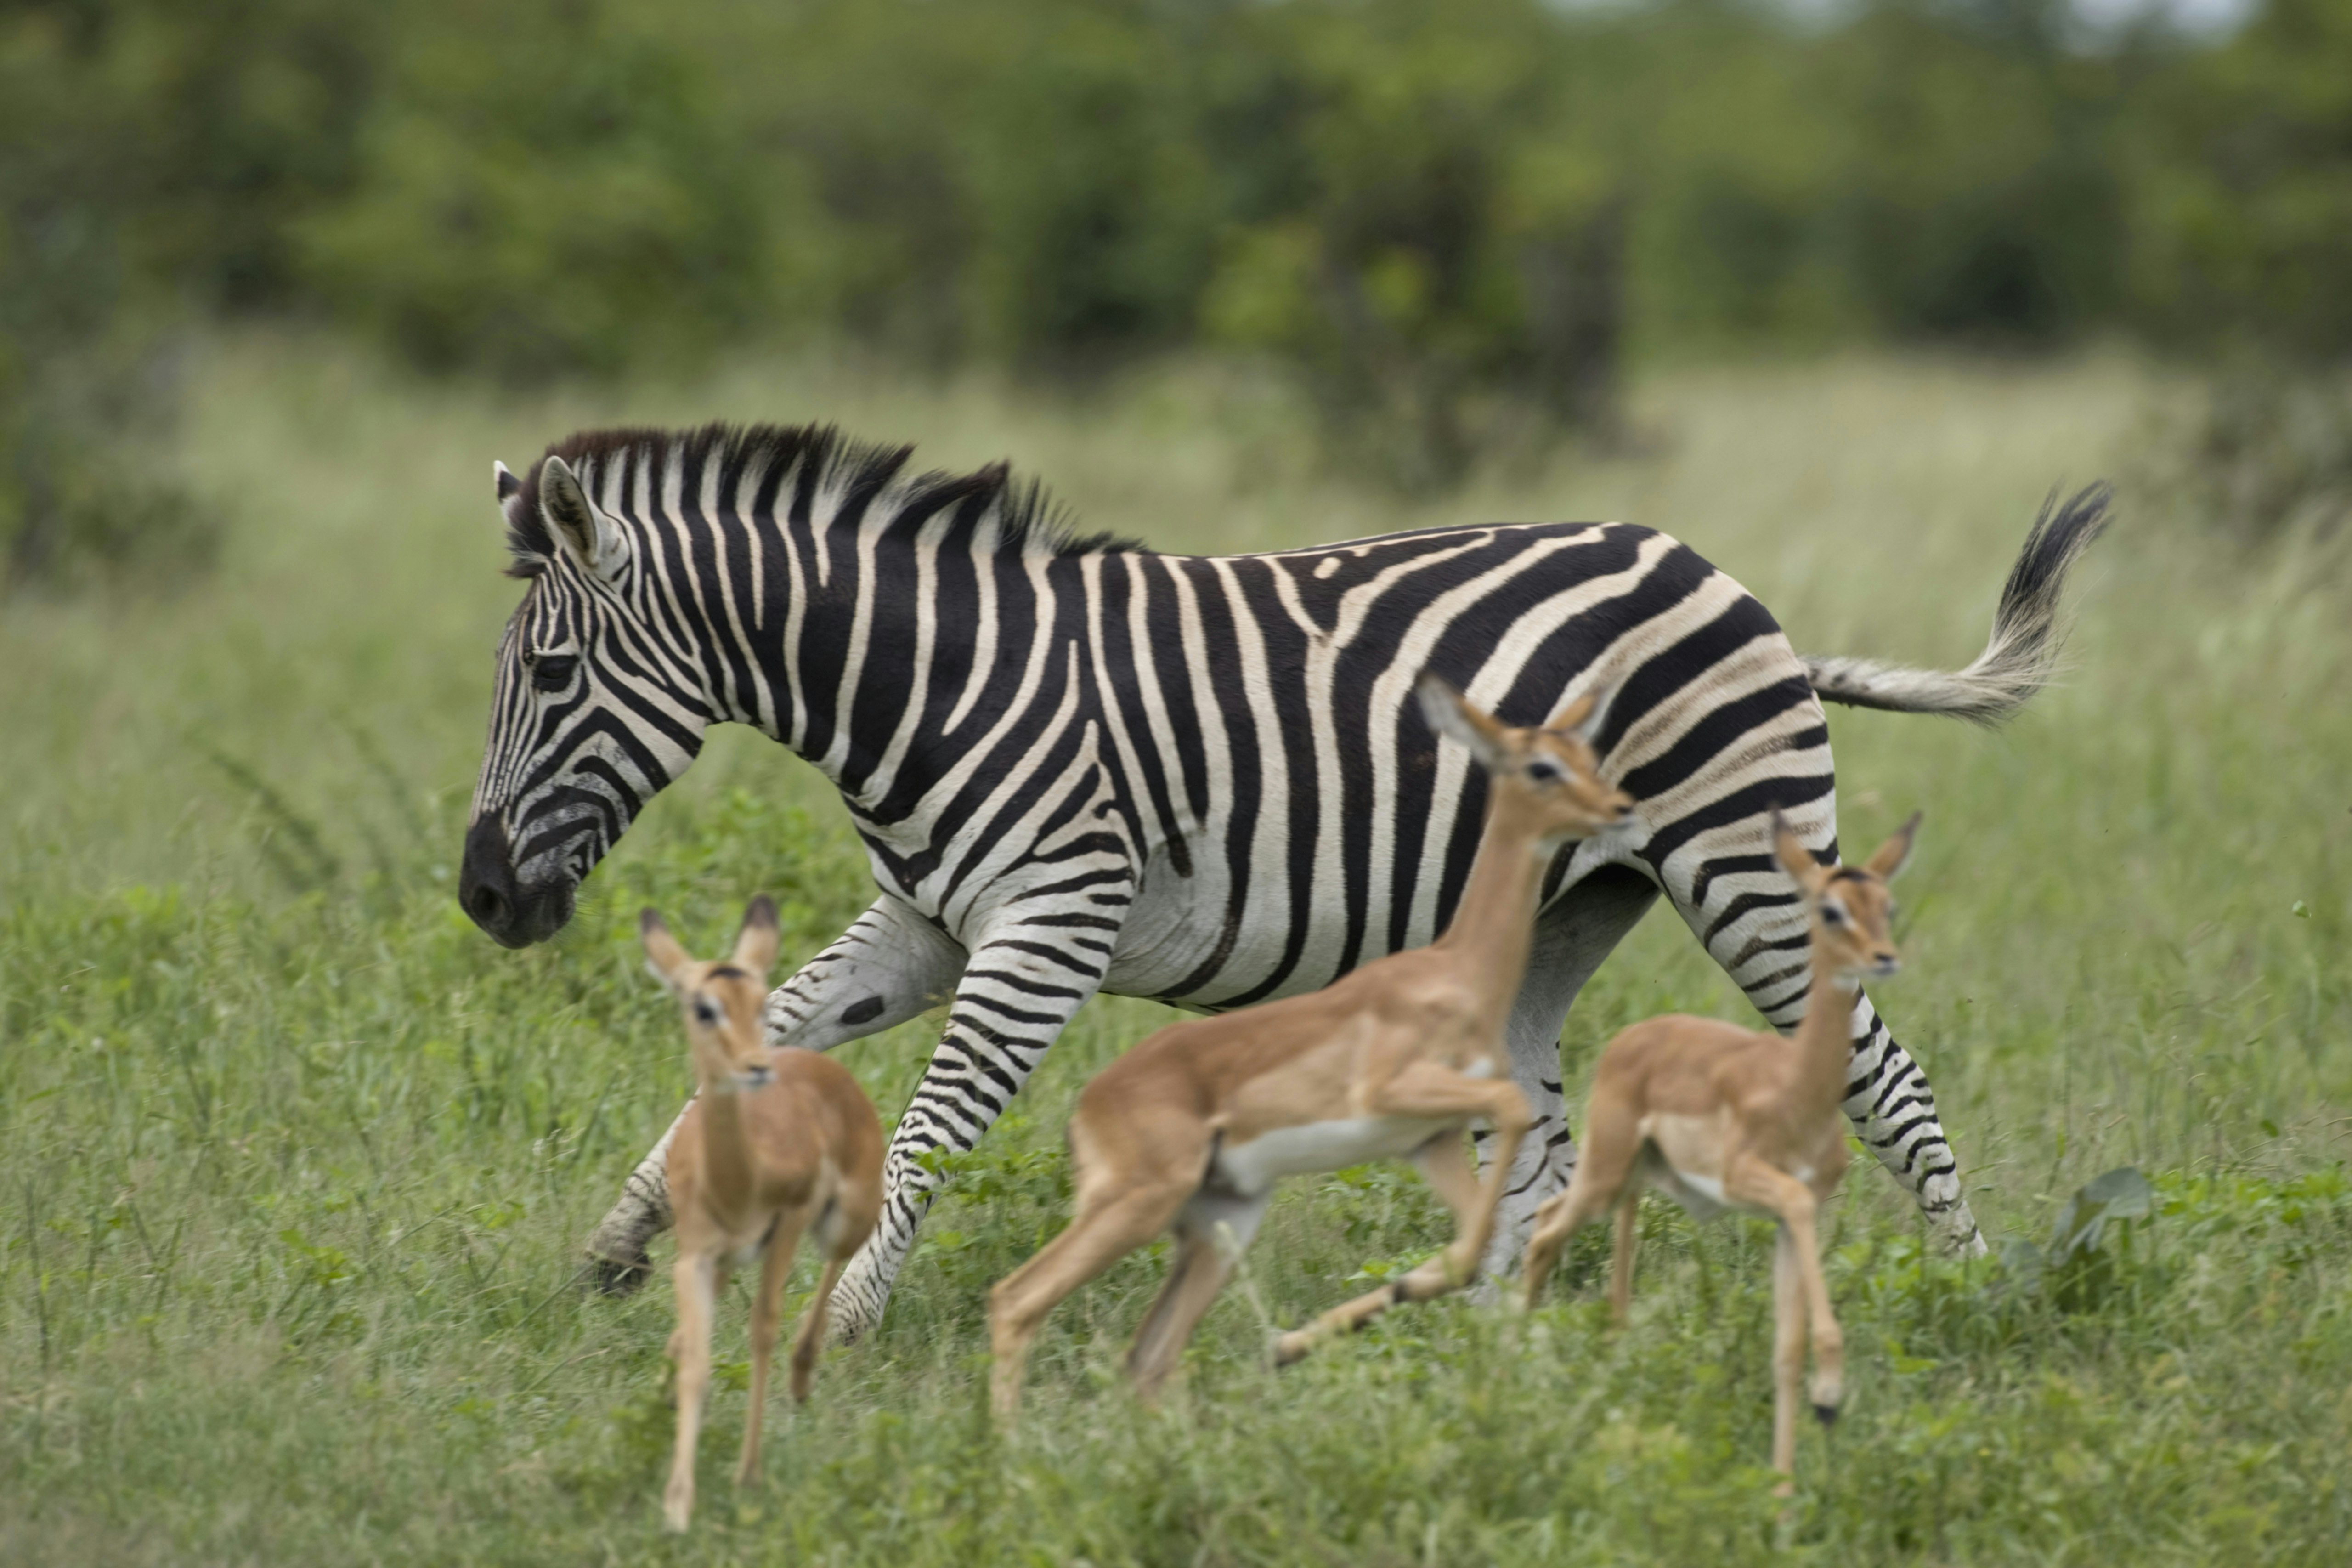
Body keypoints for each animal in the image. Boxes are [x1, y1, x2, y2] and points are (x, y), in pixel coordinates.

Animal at [457, 421, 2107, 1339]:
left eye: (550, 673)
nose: (480, 900)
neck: (926, 686)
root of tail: (1731, 581)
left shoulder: (1050, 918)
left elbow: (932, 1122)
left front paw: (847, 1318)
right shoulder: (919, 922)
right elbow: (764, 1034)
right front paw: (622, 1242)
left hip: (1742, 856)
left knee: (1882, 1075)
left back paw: (1971, 1291)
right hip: (1561, 907)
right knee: (1545, 1131)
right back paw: (1489, 1346)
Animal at [641, 897, 884, 1532]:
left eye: (761, 1001)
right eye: (703, 1007)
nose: (754, 1066)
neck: (737, 1183)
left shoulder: (788, 1225)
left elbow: (761, 1332)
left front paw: (747, 1475)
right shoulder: (695, 1257)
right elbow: (697, 1359)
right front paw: (677, 1500)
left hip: (843, 1219)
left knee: (835, 1273)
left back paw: (801, 1379)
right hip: (731, 1259)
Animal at [987, 677, 1638, 1417]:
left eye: (1586, 755)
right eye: (1541, 766)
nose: (1621, 808)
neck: (1457, 971)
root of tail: (1088, 1107)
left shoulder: (1429, 1140)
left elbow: (1473, 1244)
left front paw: (1325, 1328)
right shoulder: (1396, 1093)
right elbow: (1507, 1130)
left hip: (1220, 1225)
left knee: (1145, 1357)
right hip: (1139, 1203)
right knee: (1017, 1299)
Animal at [1520, 808, 1922, 1483]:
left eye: (1885, 905)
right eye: (1831, 909)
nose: (1884, 957)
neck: (1795, 1089)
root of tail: (1631, 1037)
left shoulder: (1795, 1212)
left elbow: (1786, 1345)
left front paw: (1784, 1487)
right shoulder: (1761, 1186)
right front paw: (1829, 1395)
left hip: (1631, 1174)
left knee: (1555, 1220)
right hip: (1608, 1172)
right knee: (1547, 1227)